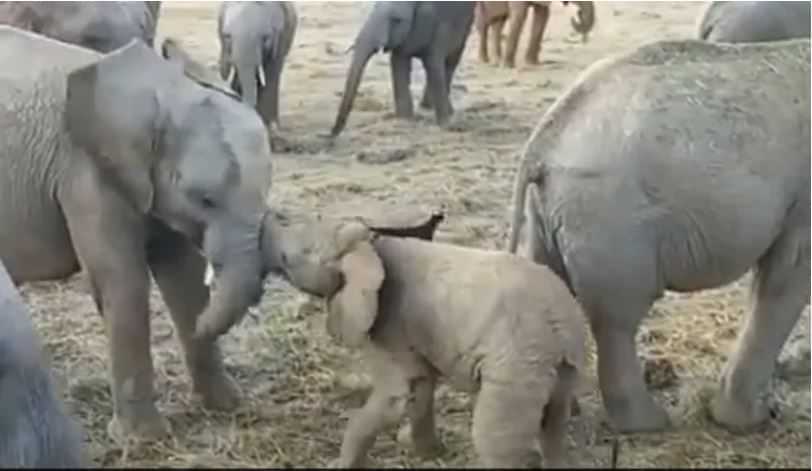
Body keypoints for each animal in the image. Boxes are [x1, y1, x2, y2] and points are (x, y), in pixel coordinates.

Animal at [0, 27, 276, 444]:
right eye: (205, 199)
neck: (156, 92)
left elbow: (185, 278)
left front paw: (226, 406)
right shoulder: (85, 173)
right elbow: (123, 281)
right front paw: (143, 440)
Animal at [256, 214, 587, 468]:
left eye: (296, 255)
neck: (370, 244)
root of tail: (563, 326)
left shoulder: (389, 322)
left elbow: (398, 395)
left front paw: (341, 465)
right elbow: (421, 387)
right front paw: (428, 453)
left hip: (517, 365)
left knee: (496, 439)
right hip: (560, 367)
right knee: (553, 425)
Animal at [330, 1, 476, 138]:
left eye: (397, 20)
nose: (331, 134)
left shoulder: (439, 27)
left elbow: (433, 64)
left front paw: (446, 126)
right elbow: (398, 63)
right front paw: (404, 121)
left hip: (466, 26)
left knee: (450, 63)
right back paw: (427, 108)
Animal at [506, 37, 810, 434]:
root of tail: (544, 136)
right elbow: (784, 280)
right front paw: (747, 421)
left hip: (549, 213)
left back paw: (559, 410)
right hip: (609, 216)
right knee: (617, 319)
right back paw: (647, 424)